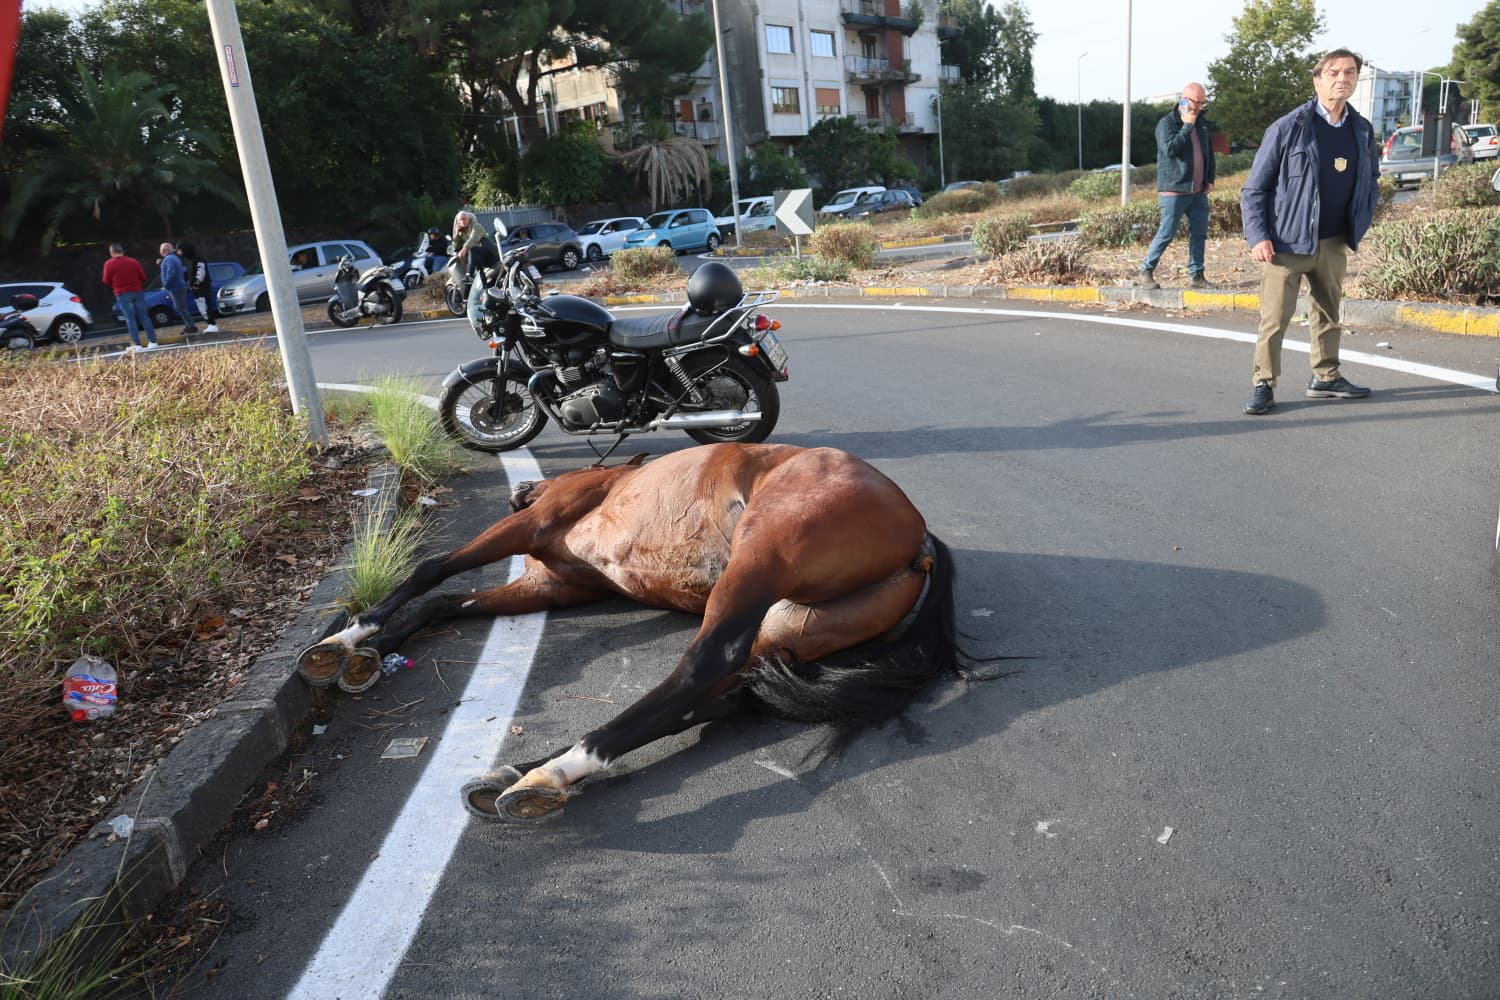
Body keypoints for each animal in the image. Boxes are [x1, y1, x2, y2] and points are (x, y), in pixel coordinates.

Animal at [295, 443, 986, 823]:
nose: (524, 487)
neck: (608, 479)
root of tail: (920, 538)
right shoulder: (552, 587)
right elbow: (445, 602)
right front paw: (369, 651)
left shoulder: (531, 527)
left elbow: (433, 570)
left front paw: (348, 638)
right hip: (787, 622)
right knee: (718, 697)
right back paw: (520, 774)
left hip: (759, 562)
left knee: (707, 663)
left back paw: (558, 769)